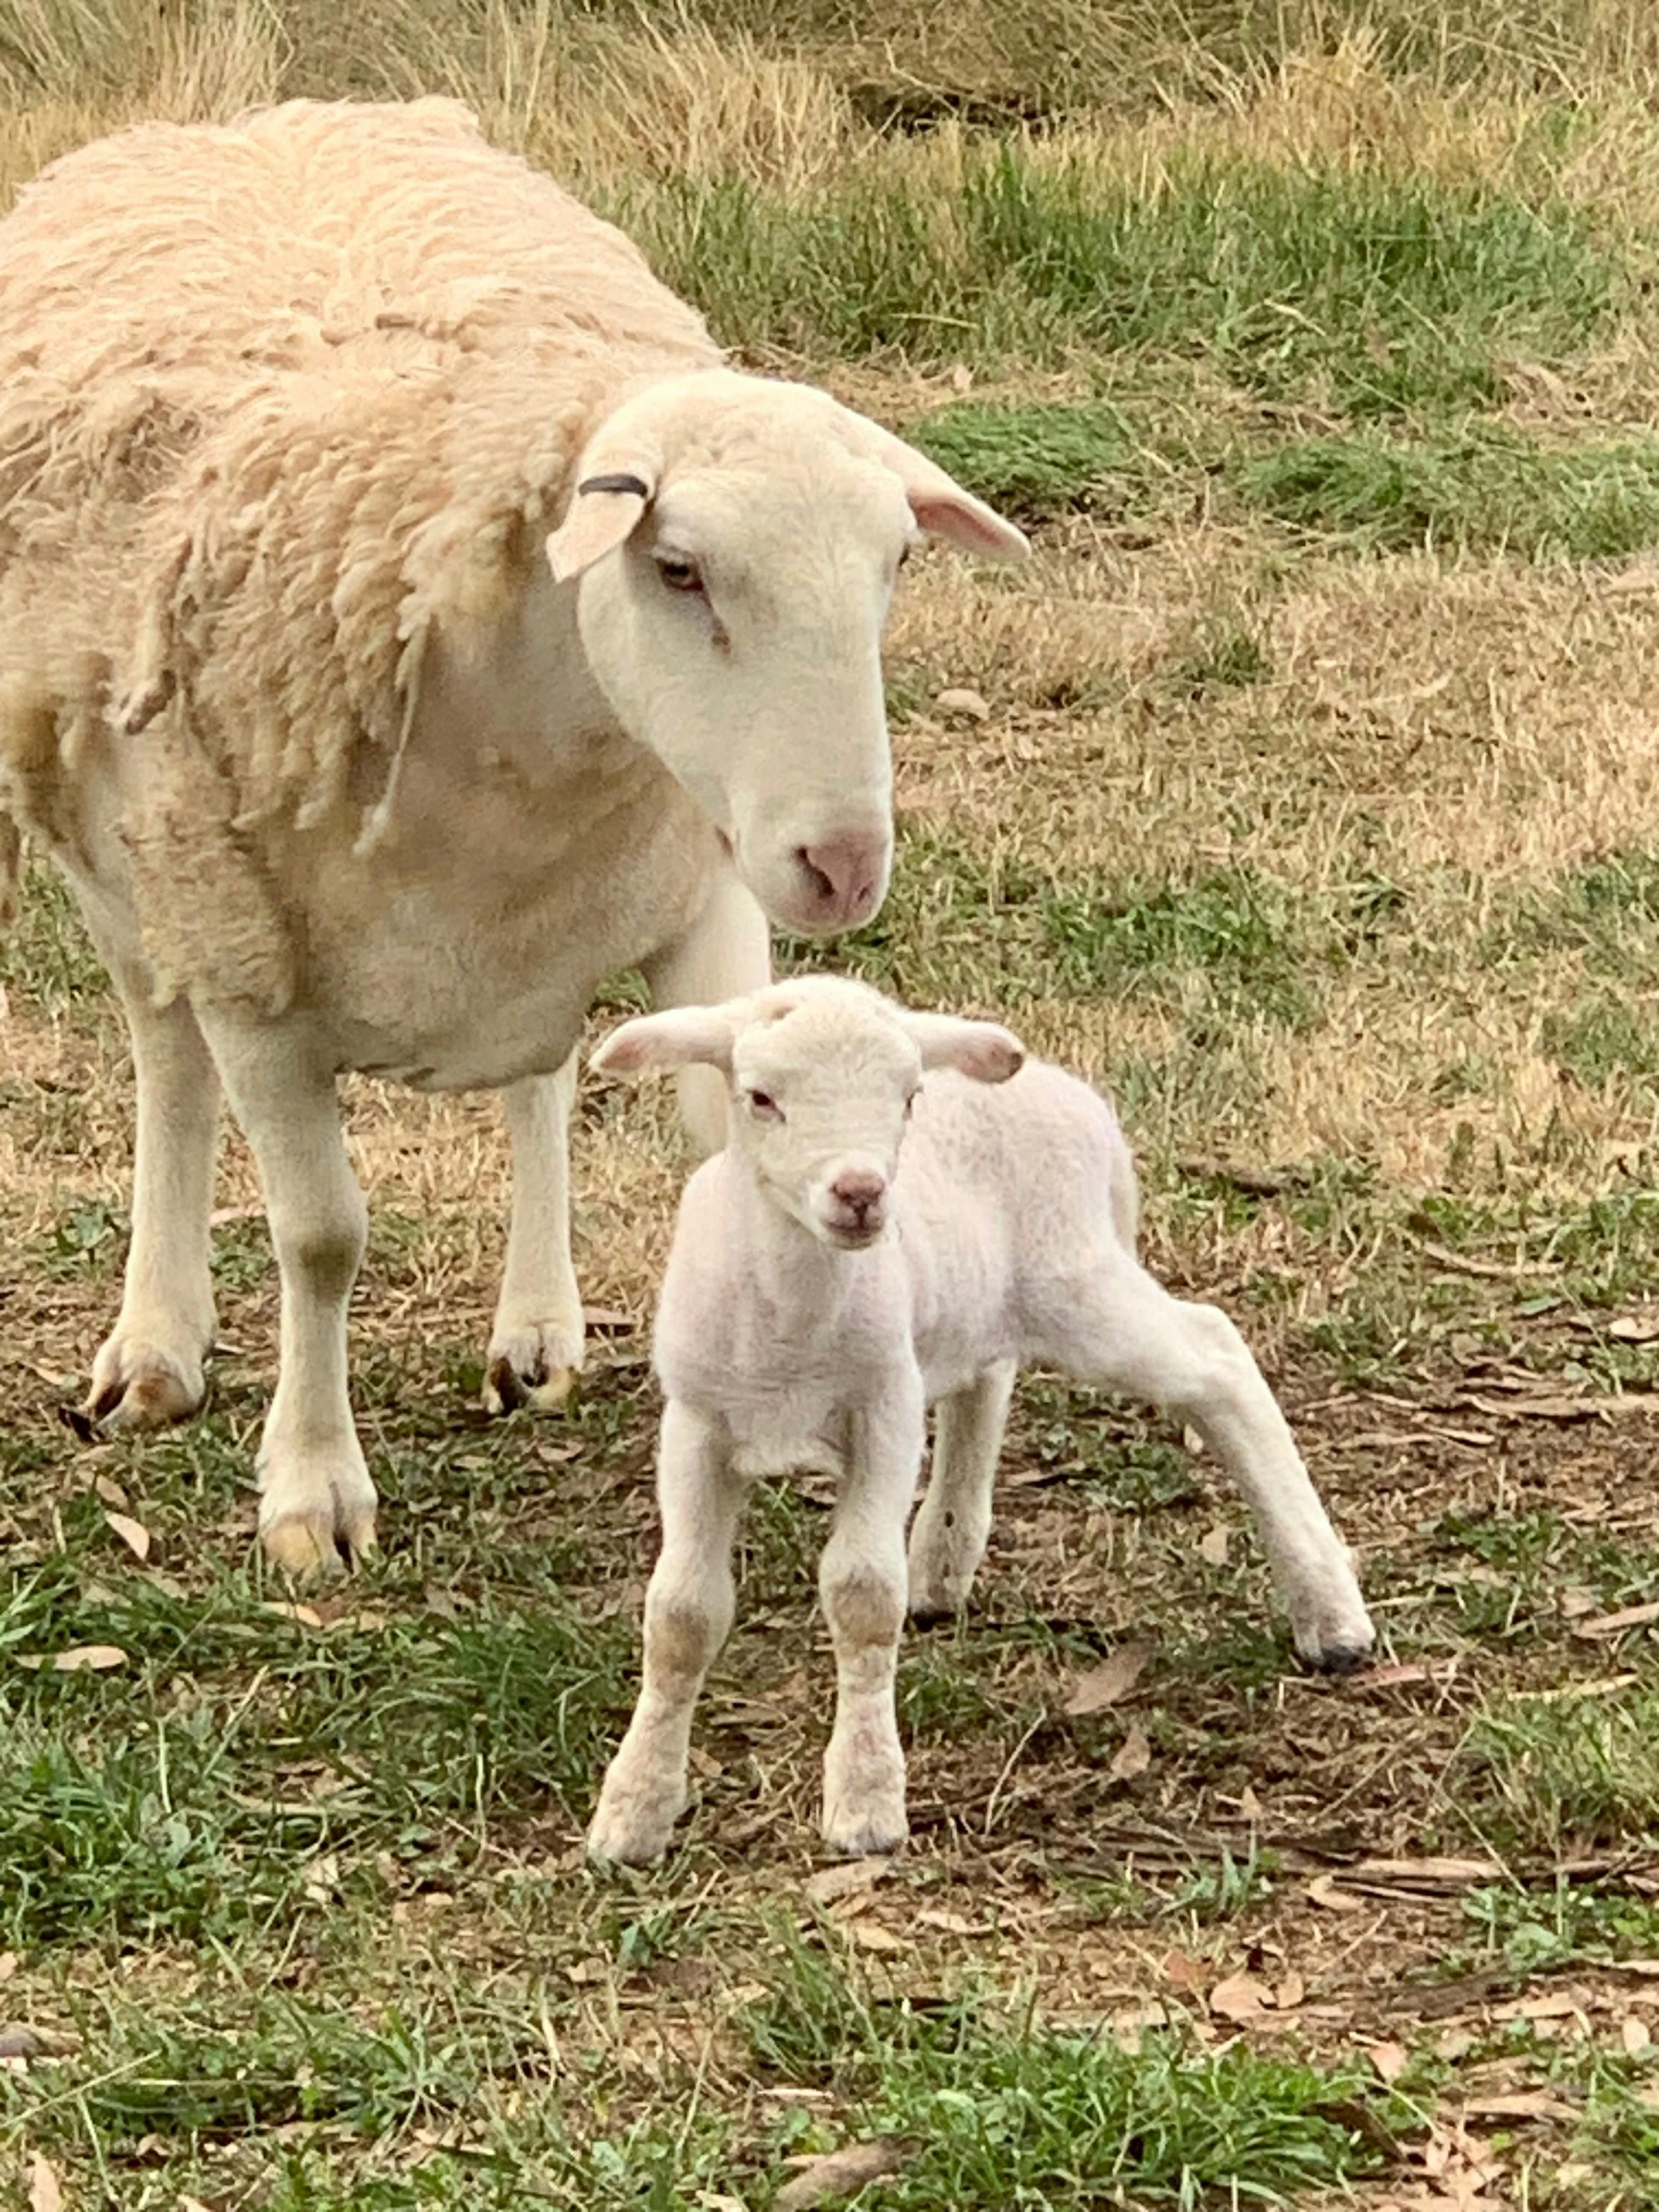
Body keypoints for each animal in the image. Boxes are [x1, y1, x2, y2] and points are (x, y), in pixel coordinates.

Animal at [0, 99, 1028, 1574]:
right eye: (679, 570)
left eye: (896, 562)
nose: (843, 868)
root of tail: (263, 116)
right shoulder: (250, 968)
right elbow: (320, 1237)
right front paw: (314, 1491)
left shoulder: (699, 897)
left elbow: (715, 1146)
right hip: (130, 864)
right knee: (164, 1052)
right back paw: (157, 1346)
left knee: (540, 1078)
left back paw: (535, 1331)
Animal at [585, 975, 1375, 1863]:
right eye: (760, 1097)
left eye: (907, 1097)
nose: (860, 1193)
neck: (791, 1327)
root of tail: (1072, 1094)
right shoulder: (695, 1424)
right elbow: (681, 1616)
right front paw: (634, 1812)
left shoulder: (885, 1410)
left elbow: (862, 1593)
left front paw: (866, 1802)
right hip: (980, 1302)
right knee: (989, 1378)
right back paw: (942, 1564)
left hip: (1077, 1283)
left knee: (1218, 1356)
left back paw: (1332, 1614)